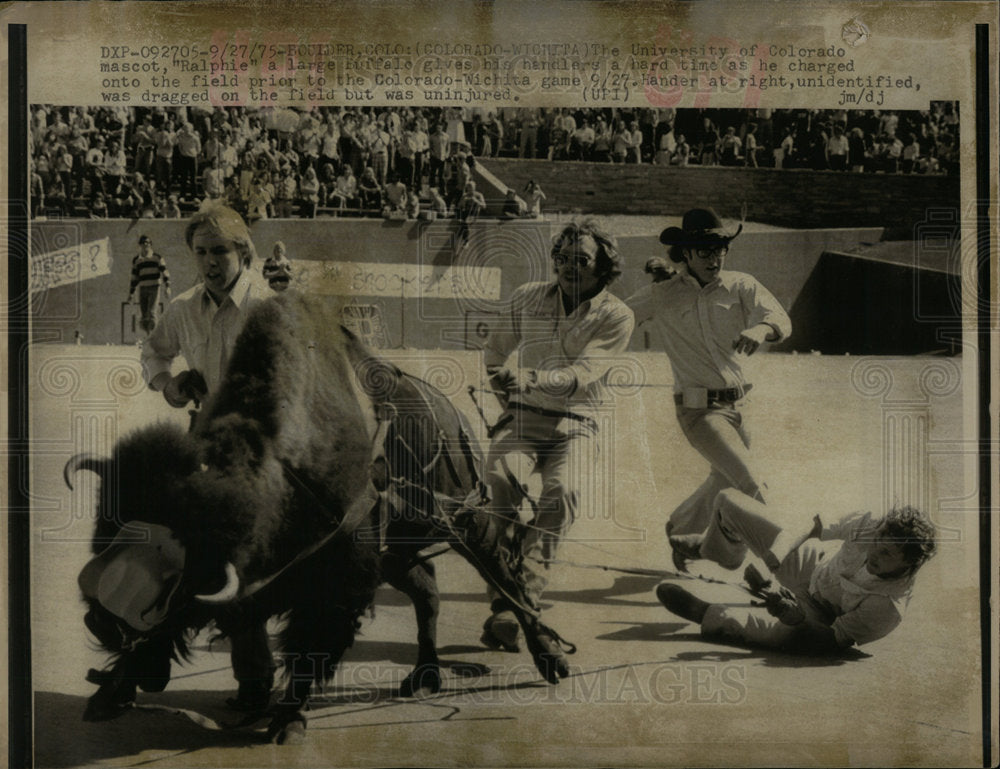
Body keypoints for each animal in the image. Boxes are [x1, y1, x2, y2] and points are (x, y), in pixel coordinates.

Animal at [66, 290, 572, 744]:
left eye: (172, 567)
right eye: (107, 525)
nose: (101, 620)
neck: (281, 469)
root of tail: (451, 414)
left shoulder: (333, 586)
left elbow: (309, 648)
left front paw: (287, 722)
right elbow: (176, 634)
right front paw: (107, 697)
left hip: (469, 522)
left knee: (508, 580)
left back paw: (551, 661)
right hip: (397, 554)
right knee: (427, 593)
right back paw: (422, 678)